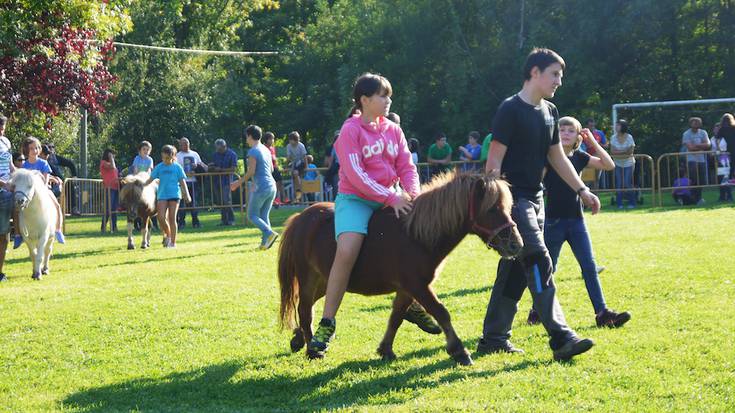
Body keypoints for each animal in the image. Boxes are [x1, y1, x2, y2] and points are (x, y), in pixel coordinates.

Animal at [278, 171, 524, 364]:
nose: (516, 244)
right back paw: (312, 347)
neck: (416, 235)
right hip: (312, 278)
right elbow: (441, 312)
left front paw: (385, 349)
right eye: (492, 209)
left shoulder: (408, 289)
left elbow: (396, 316)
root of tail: (300, 217)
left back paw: (299, 338)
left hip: (324, 280)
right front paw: (459, 351)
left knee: (309, 306)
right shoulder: (416, 285)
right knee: (305, 309)